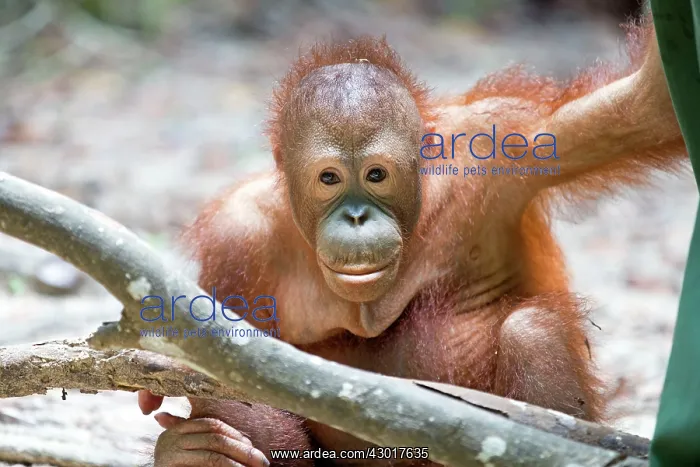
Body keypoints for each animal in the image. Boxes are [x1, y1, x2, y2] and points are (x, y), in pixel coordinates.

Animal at [137, 16, 687, 467]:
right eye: (330, 178)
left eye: (376, 175)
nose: (357, 216)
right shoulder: (235, 238)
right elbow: (229, 370)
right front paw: (201, 446)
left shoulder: (508, 138)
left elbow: (645, 110)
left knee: (532, 330)